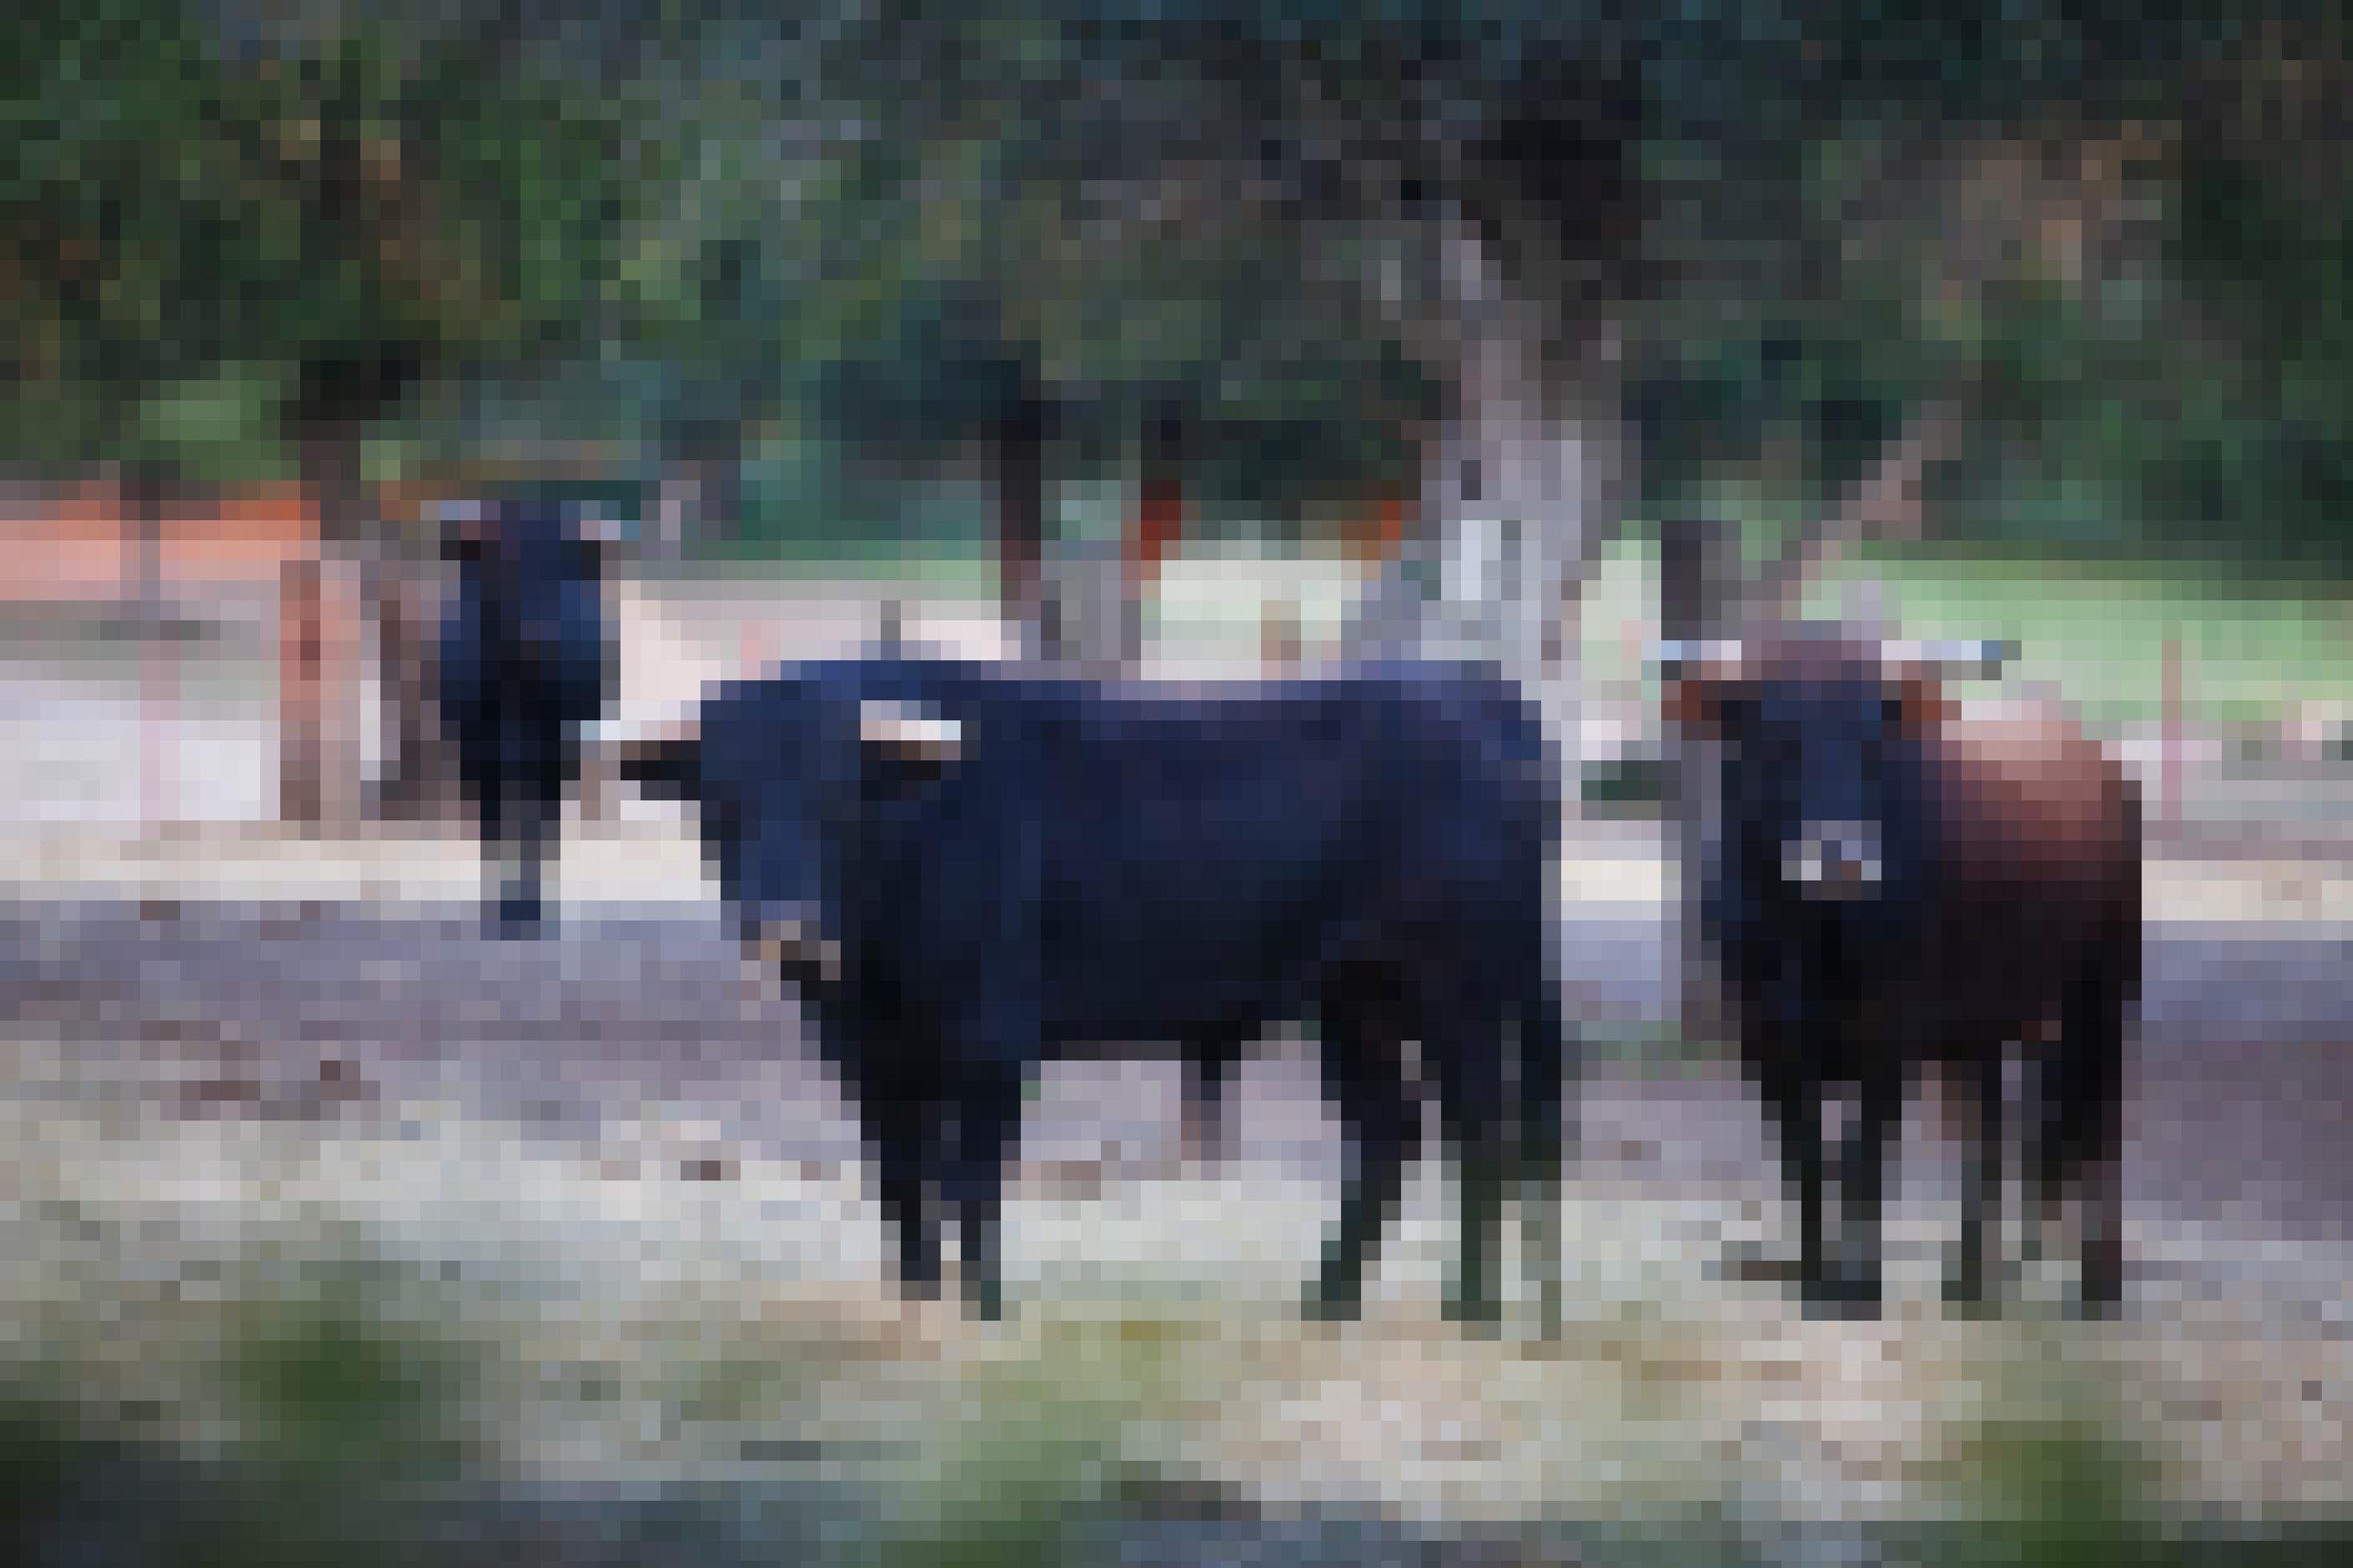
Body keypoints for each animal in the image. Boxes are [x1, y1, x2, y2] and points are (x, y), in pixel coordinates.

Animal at [432, 495, 616, 940]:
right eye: (506, 569)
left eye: (569, 572)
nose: (545, 637)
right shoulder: (478, 750)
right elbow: (494, 828)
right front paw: (503, 907)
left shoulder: (555, 746)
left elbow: (540, 828)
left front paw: (528, 908)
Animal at [607, 658, 1572, 1335]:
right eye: (718, 799)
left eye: (842, 798)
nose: (785, 923)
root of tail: (1470, 688)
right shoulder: (869, 1060)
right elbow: (901, 1185)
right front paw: (916, 1304)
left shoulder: (989, 1045)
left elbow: (970, 1181)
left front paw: (983, 1309)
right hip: (1352, 997)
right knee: (1387, 1131)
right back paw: (1326, 1304)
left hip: (1460, 992)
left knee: (1479, 1128)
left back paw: (1469, 1311)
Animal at [1665, 630, 2146, 1316]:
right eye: (1776, 739)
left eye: (1876, 745)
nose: (1839, 855)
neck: (1809, 935)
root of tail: (2102, 765)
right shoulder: (1766, 1046)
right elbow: (1805, 1159)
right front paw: (1814, 1277)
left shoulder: (1886, 1039)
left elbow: (1864, 1158)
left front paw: (1858, 1286)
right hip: (1980, 1028)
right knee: (1985, 1133)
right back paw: (1969, 1280)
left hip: (2099, 996)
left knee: (2098, 1121)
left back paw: (2097, 1285)